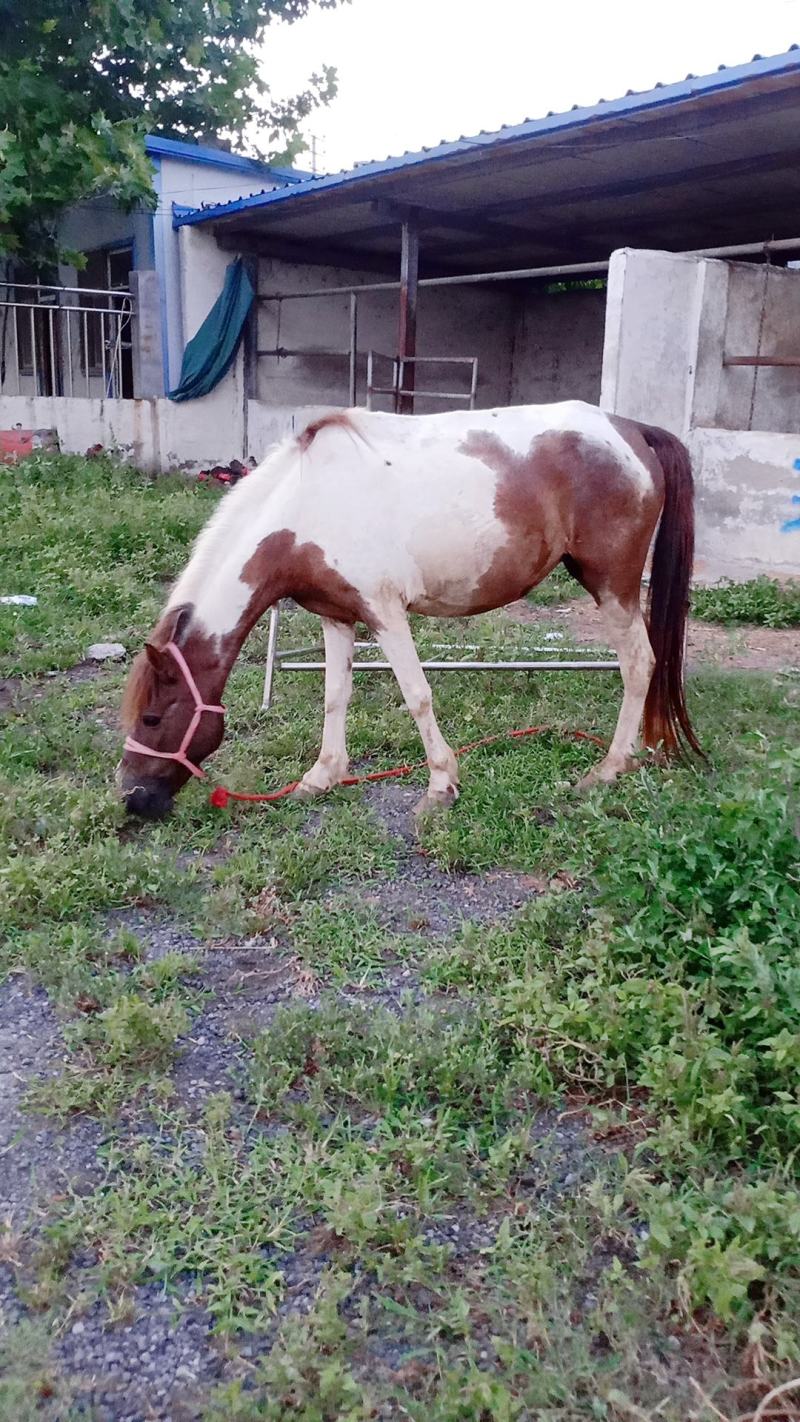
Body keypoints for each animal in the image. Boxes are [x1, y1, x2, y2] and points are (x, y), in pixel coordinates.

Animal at [119, 401, 701, 818]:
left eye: (152, 717)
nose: (132, 799)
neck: (307, 503)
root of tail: (633, 430)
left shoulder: (385, 612)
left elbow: (417, 696)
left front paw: (441, 787)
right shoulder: (337, 615)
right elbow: (335, 696)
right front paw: (321, 777)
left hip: (612, 585)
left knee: (639, 664)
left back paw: (608, 769)